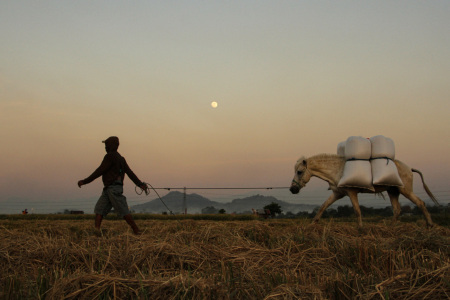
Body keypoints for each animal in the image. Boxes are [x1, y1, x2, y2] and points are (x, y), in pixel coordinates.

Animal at [288, 154, 440, 226]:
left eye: (299, 172)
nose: (292, 189)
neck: (338, 170)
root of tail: (409, 168)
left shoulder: (351, 193)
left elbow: (357, 211)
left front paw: (360, 228)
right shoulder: (338, 194)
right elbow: (323, 207)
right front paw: (312, 224)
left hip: (405, 191)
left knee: (420, 203)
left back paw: (430, 225)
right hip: (393, 191)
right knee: (397, 210)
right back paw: (390, 227)